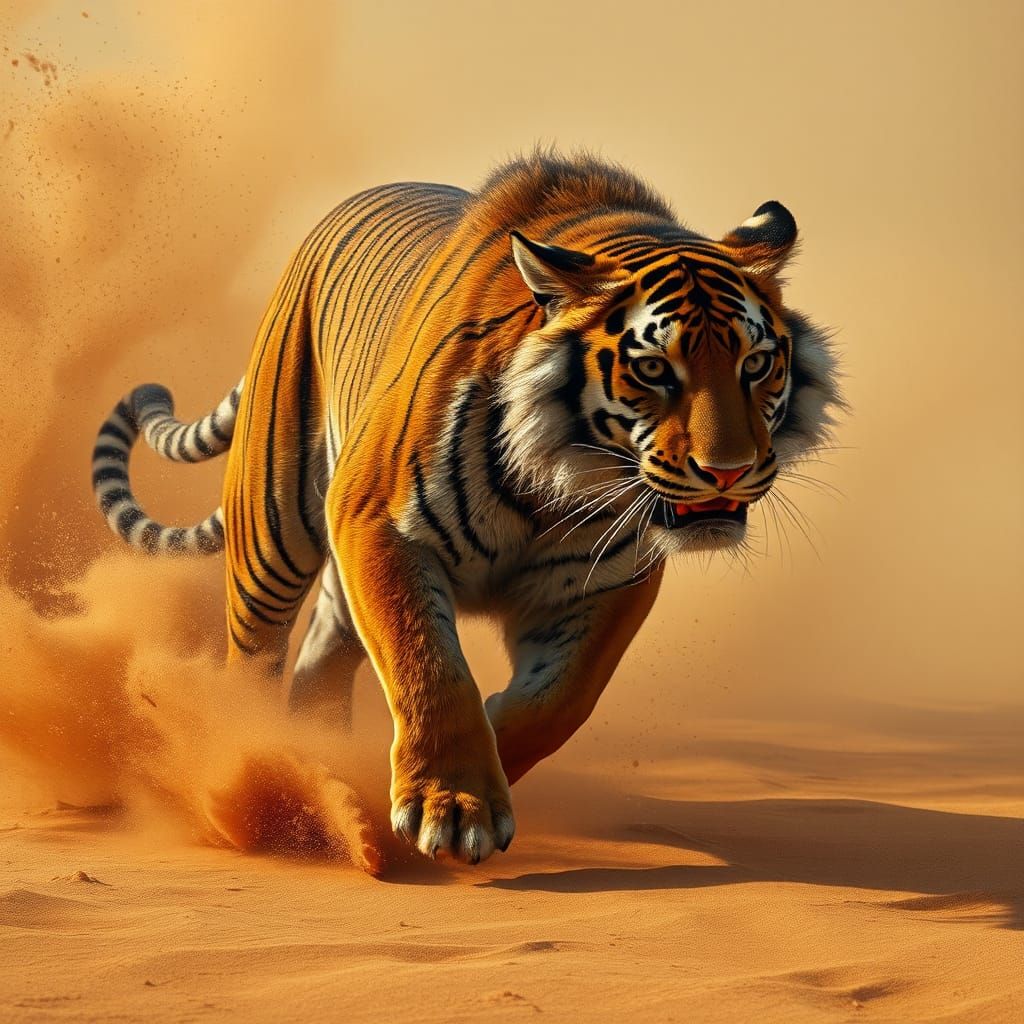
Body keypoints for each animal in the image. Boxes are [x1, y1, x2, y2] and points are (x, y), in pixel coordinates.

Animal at [91, 152, 840, 865]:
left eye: (756, 363)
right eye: (655, 369)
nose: (727, 471)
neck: (559, 482)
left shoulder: (610, 580)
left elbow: (559, 701)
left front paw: (474, 767)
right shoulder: (378, 524)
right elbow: (428, 664)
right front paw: (449, 807)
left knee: (321, 660)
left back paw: (327, 772)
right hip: (270, 535)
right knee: (253, 662)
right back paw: (261, 772)